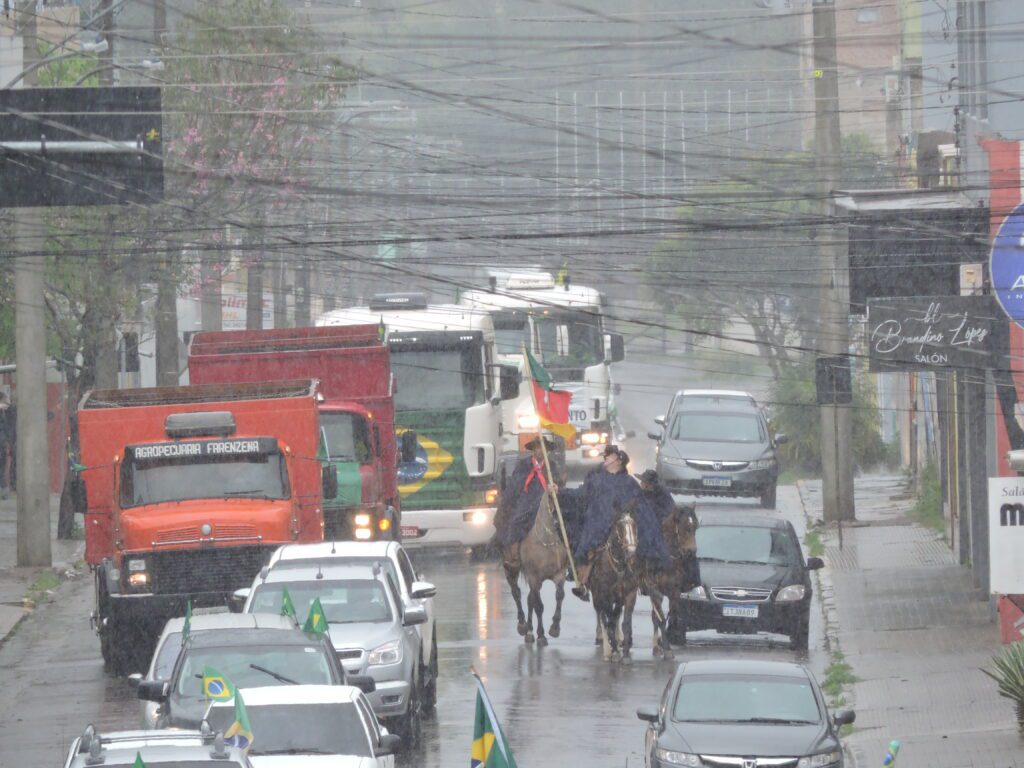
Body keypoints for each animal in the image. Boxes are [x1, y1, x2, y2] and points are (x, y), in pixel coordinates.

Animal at [501, 489, 569, 647]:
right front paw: (542, 635)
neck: (547, 543)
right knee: (516, 593)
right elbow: (539, 606)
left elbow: (560, 595)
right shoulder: (534, 577)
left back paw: (530, 632)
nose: (559, 524)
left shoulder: (559, 574)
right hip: (510, 569)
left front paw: (554, 628)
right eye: (552, 506)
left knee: (529, 599)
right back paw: (523, 626)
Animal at [589, 507, 634, 663]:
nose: (631, 552)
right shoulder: (605, 597)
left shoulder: (627, 595)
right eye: (619, 527)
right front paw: (613, 651)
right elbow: (609, 621)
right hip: (597, 596)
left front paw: (625, 653)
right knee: (602, 616)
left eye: (634, 525)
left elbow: (623, 621)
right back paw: (606, 647)